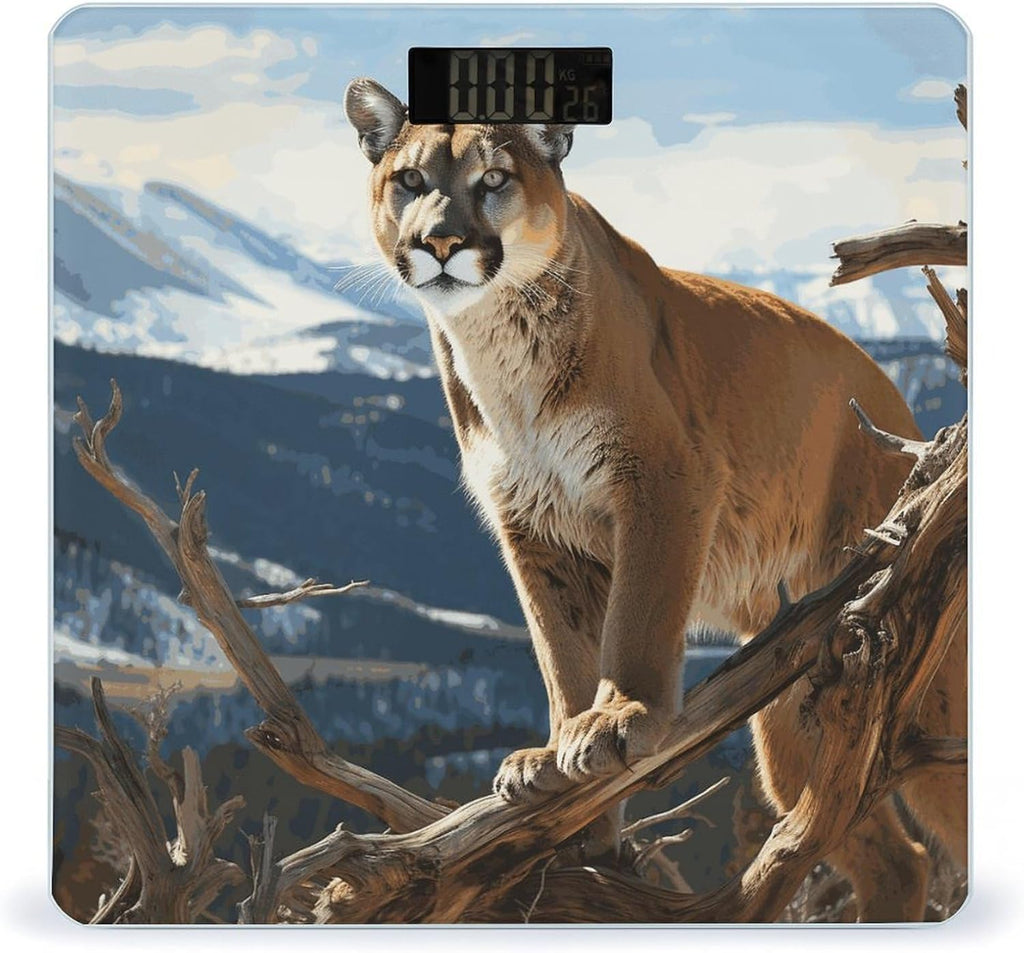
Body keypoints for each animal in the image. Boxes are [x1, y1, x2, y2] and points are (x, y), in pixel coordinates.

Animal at [344, 77, 966, 921]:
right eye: (409, 179)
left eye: (493, 179)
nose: (439, 242)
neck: (496, 344)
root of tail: (900, 410)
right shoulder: (530, 525)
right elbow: (558, 647)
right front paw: (560, 775)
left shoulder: (663, 476)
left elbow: (636, 614)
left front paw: (618, 719)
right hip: (805, 711)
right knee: (888, 855)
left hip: (921, 683)